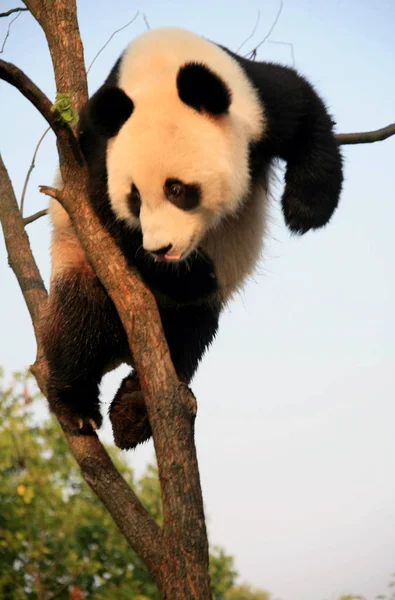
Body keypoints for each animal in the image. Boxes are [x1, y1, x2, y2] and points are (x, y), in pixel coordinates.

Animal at [41, 28, 344, 450]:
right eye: (134, 197)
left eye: (177, 189)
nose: (162, 249)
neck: (161, 70)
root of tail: (121, 348)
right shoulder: (98, 153)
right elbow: (104, 214)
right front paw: (196, 275)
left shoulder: (258, 100)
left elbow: (305, 114)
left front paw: (305, 209)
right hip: (81, 261)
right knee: (78, 321)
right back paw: (79, 407)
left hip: (183, 322)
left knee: (185, 339)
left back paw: (133, 412)